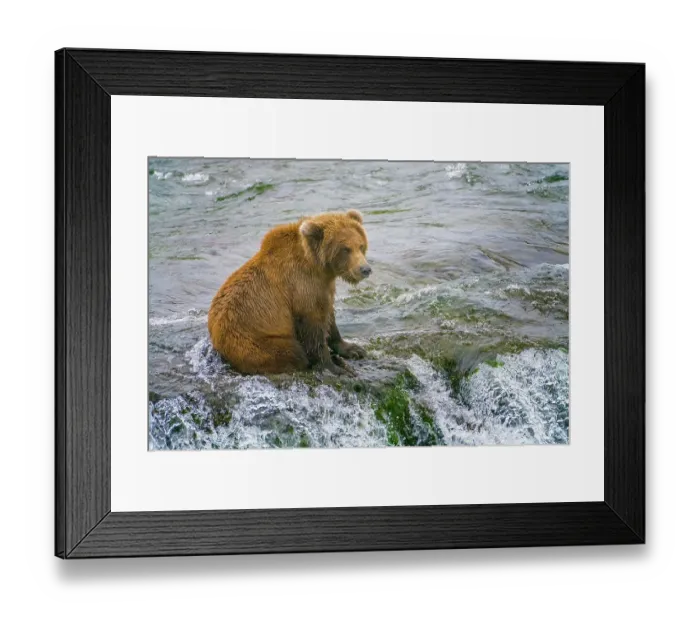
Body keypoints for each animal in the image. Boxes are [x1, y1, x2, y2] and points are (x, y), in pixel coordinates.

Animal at [208, 209, 371, 375]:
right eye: (345, 249)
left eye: (361, 245)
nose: (365, 269)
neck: (319, 267)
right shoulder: (301, 287)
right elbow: (313, 328)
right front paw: (334, 367)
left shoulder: (324, 287)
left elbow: (329, 316)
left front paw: (353, 349)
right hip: (256, 344)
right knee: (293, 353)